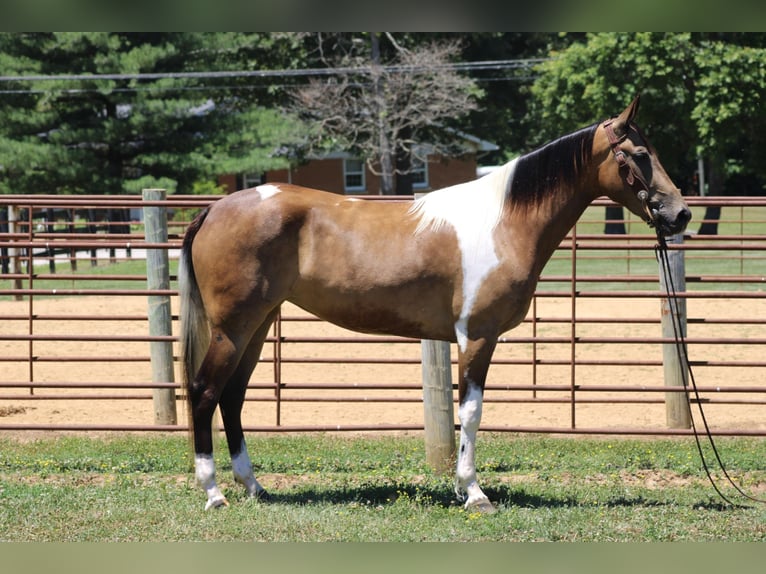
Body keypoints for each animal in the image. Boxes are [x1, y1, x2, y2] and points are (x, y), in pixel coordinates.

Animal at [182, 97, 696, 516]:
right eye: (640, 155)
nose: (681, 213)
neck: (503, 222)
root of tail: (215, 208)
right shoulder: (477, 336)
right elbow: (471, 412)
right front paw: (474, 493)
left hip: (257, 325)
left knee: (232, 396)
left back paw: (254, 487)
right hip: (233, 328)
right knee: (205, 392)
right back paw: (214, 493)